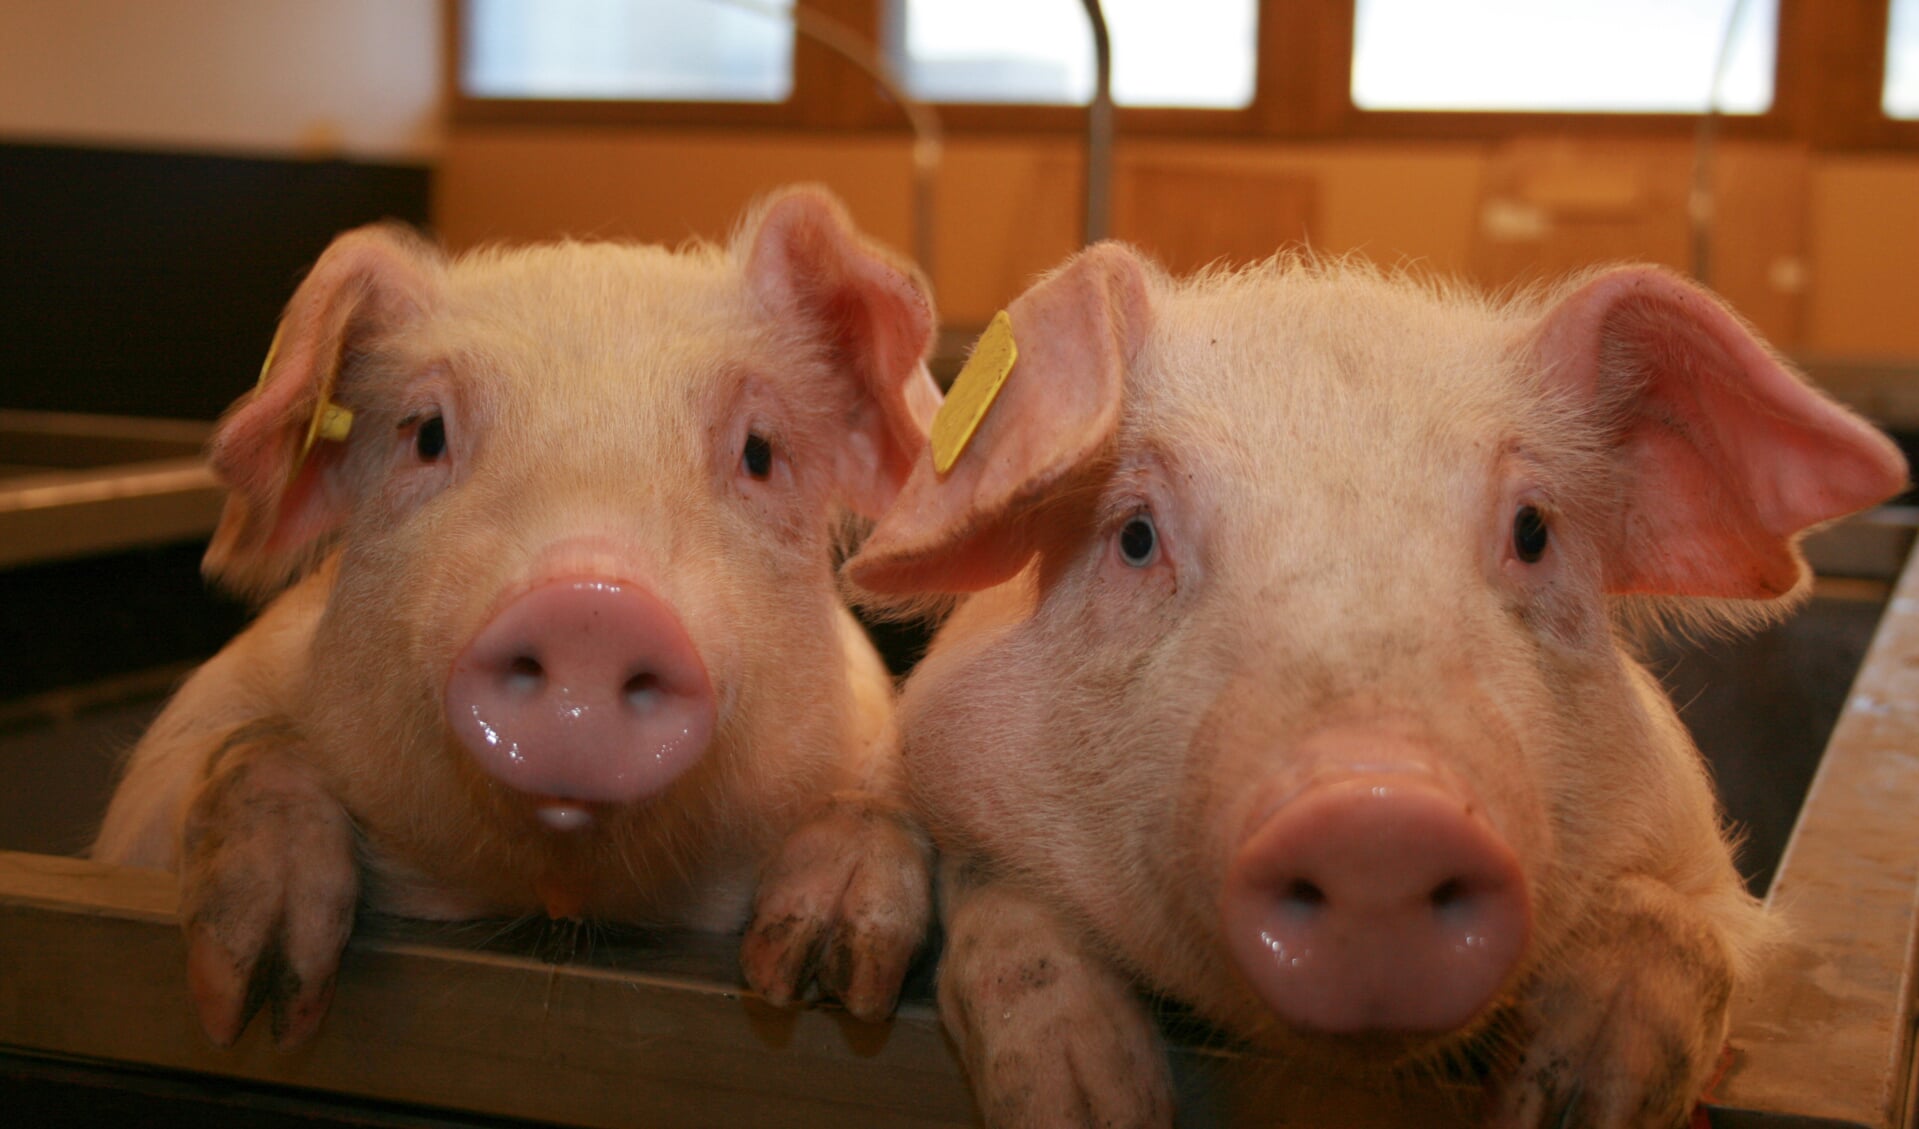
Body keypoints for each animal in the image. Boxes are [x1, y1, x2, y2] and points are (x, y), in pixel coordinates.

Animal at [95, 187, 936, 1052]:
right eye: (427, 433)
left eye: (760, 451)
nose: (591, 606)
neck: (557, 902)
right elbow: (240, 751)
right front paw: (252, 1006)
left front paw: (821, 973)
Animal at [852, 247, 1903, 1129]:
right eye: (1136, 535)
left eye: (1532, 530)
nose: (1377, 817)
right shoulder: (954, 773)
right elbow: (999, 905)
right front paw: (1093, 1106)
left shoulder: (1699, 860)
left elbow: (1680, 925)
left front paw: (1574, 1102)